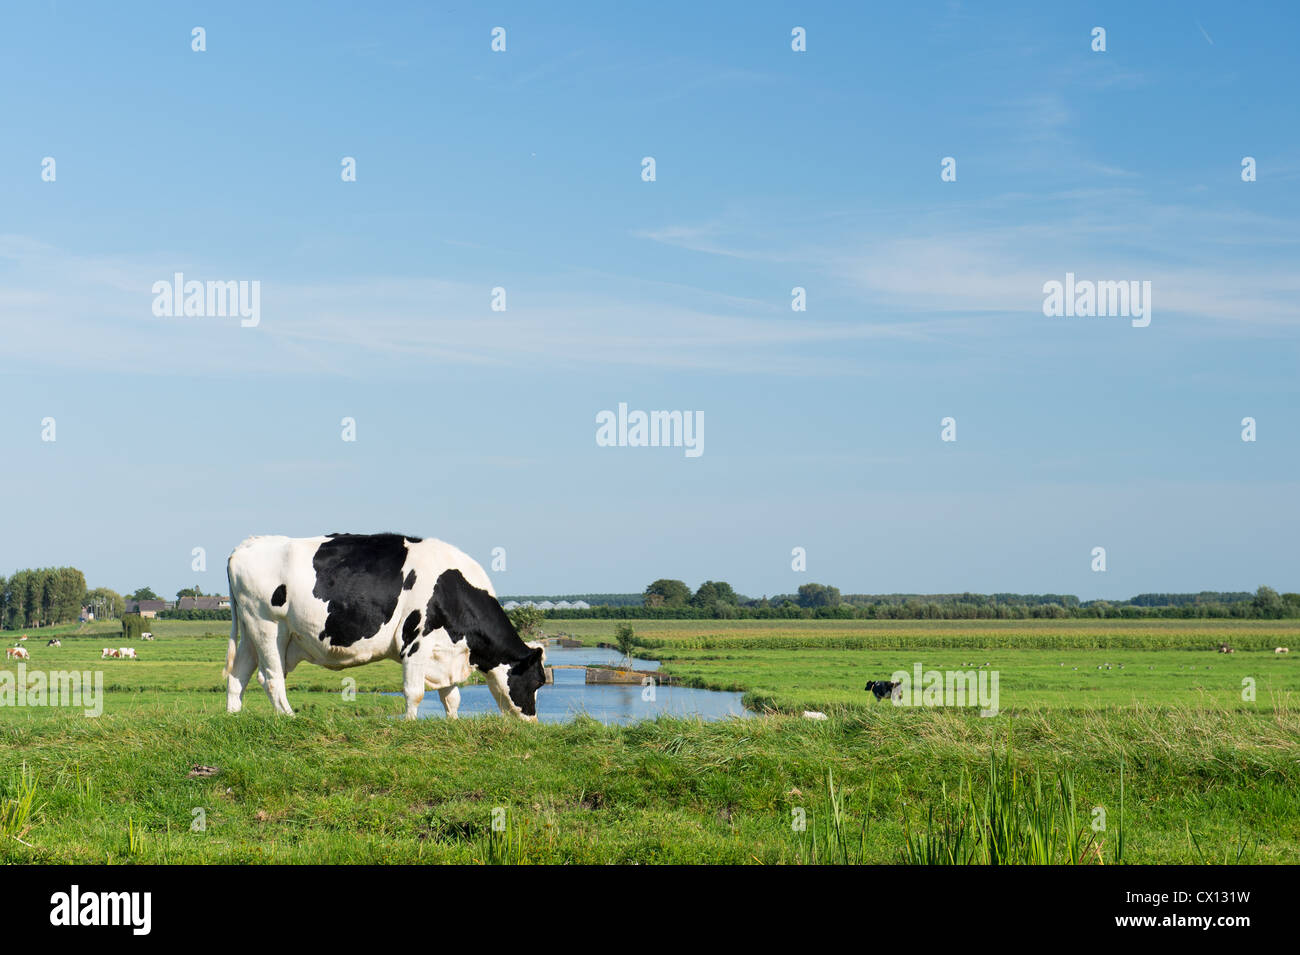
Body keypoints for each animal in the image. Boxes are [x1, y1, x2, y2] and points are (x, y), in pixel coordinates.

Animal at [223, 533, 548, 721]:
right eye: (537, 682)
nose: (532, 721)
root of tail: (246, 545)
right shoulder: (416, 642)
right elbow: (414, 691)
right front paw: (411, 724)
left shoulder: (447, 651)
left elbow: (451, 696)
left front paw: (453, 724)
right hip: (268, 625)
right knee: (271, 677)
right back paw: (289, 716)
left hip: (251, 631)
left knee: (239, 673)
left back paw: (233, 716)